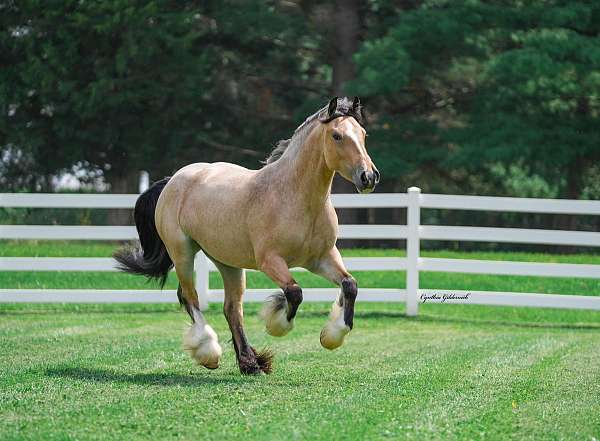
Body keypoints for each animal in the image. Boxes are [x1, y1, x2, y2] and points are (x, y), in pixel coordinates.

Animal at [115, 96, 380, 374]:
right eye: (337, 135)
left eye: (363, 134)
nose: (368, 177)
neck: (295, 198)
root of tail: (173, 180)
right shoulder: (270, 261)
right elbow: (294, 293)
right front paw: (277, 322)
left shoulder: (322, 258)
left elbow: (350, 285)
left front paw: (331, 337)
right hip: (182, 253)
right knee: (189, 297)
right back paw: (209, 353)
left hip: (227, 262)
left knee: (232, 308)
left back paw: (250, 362)